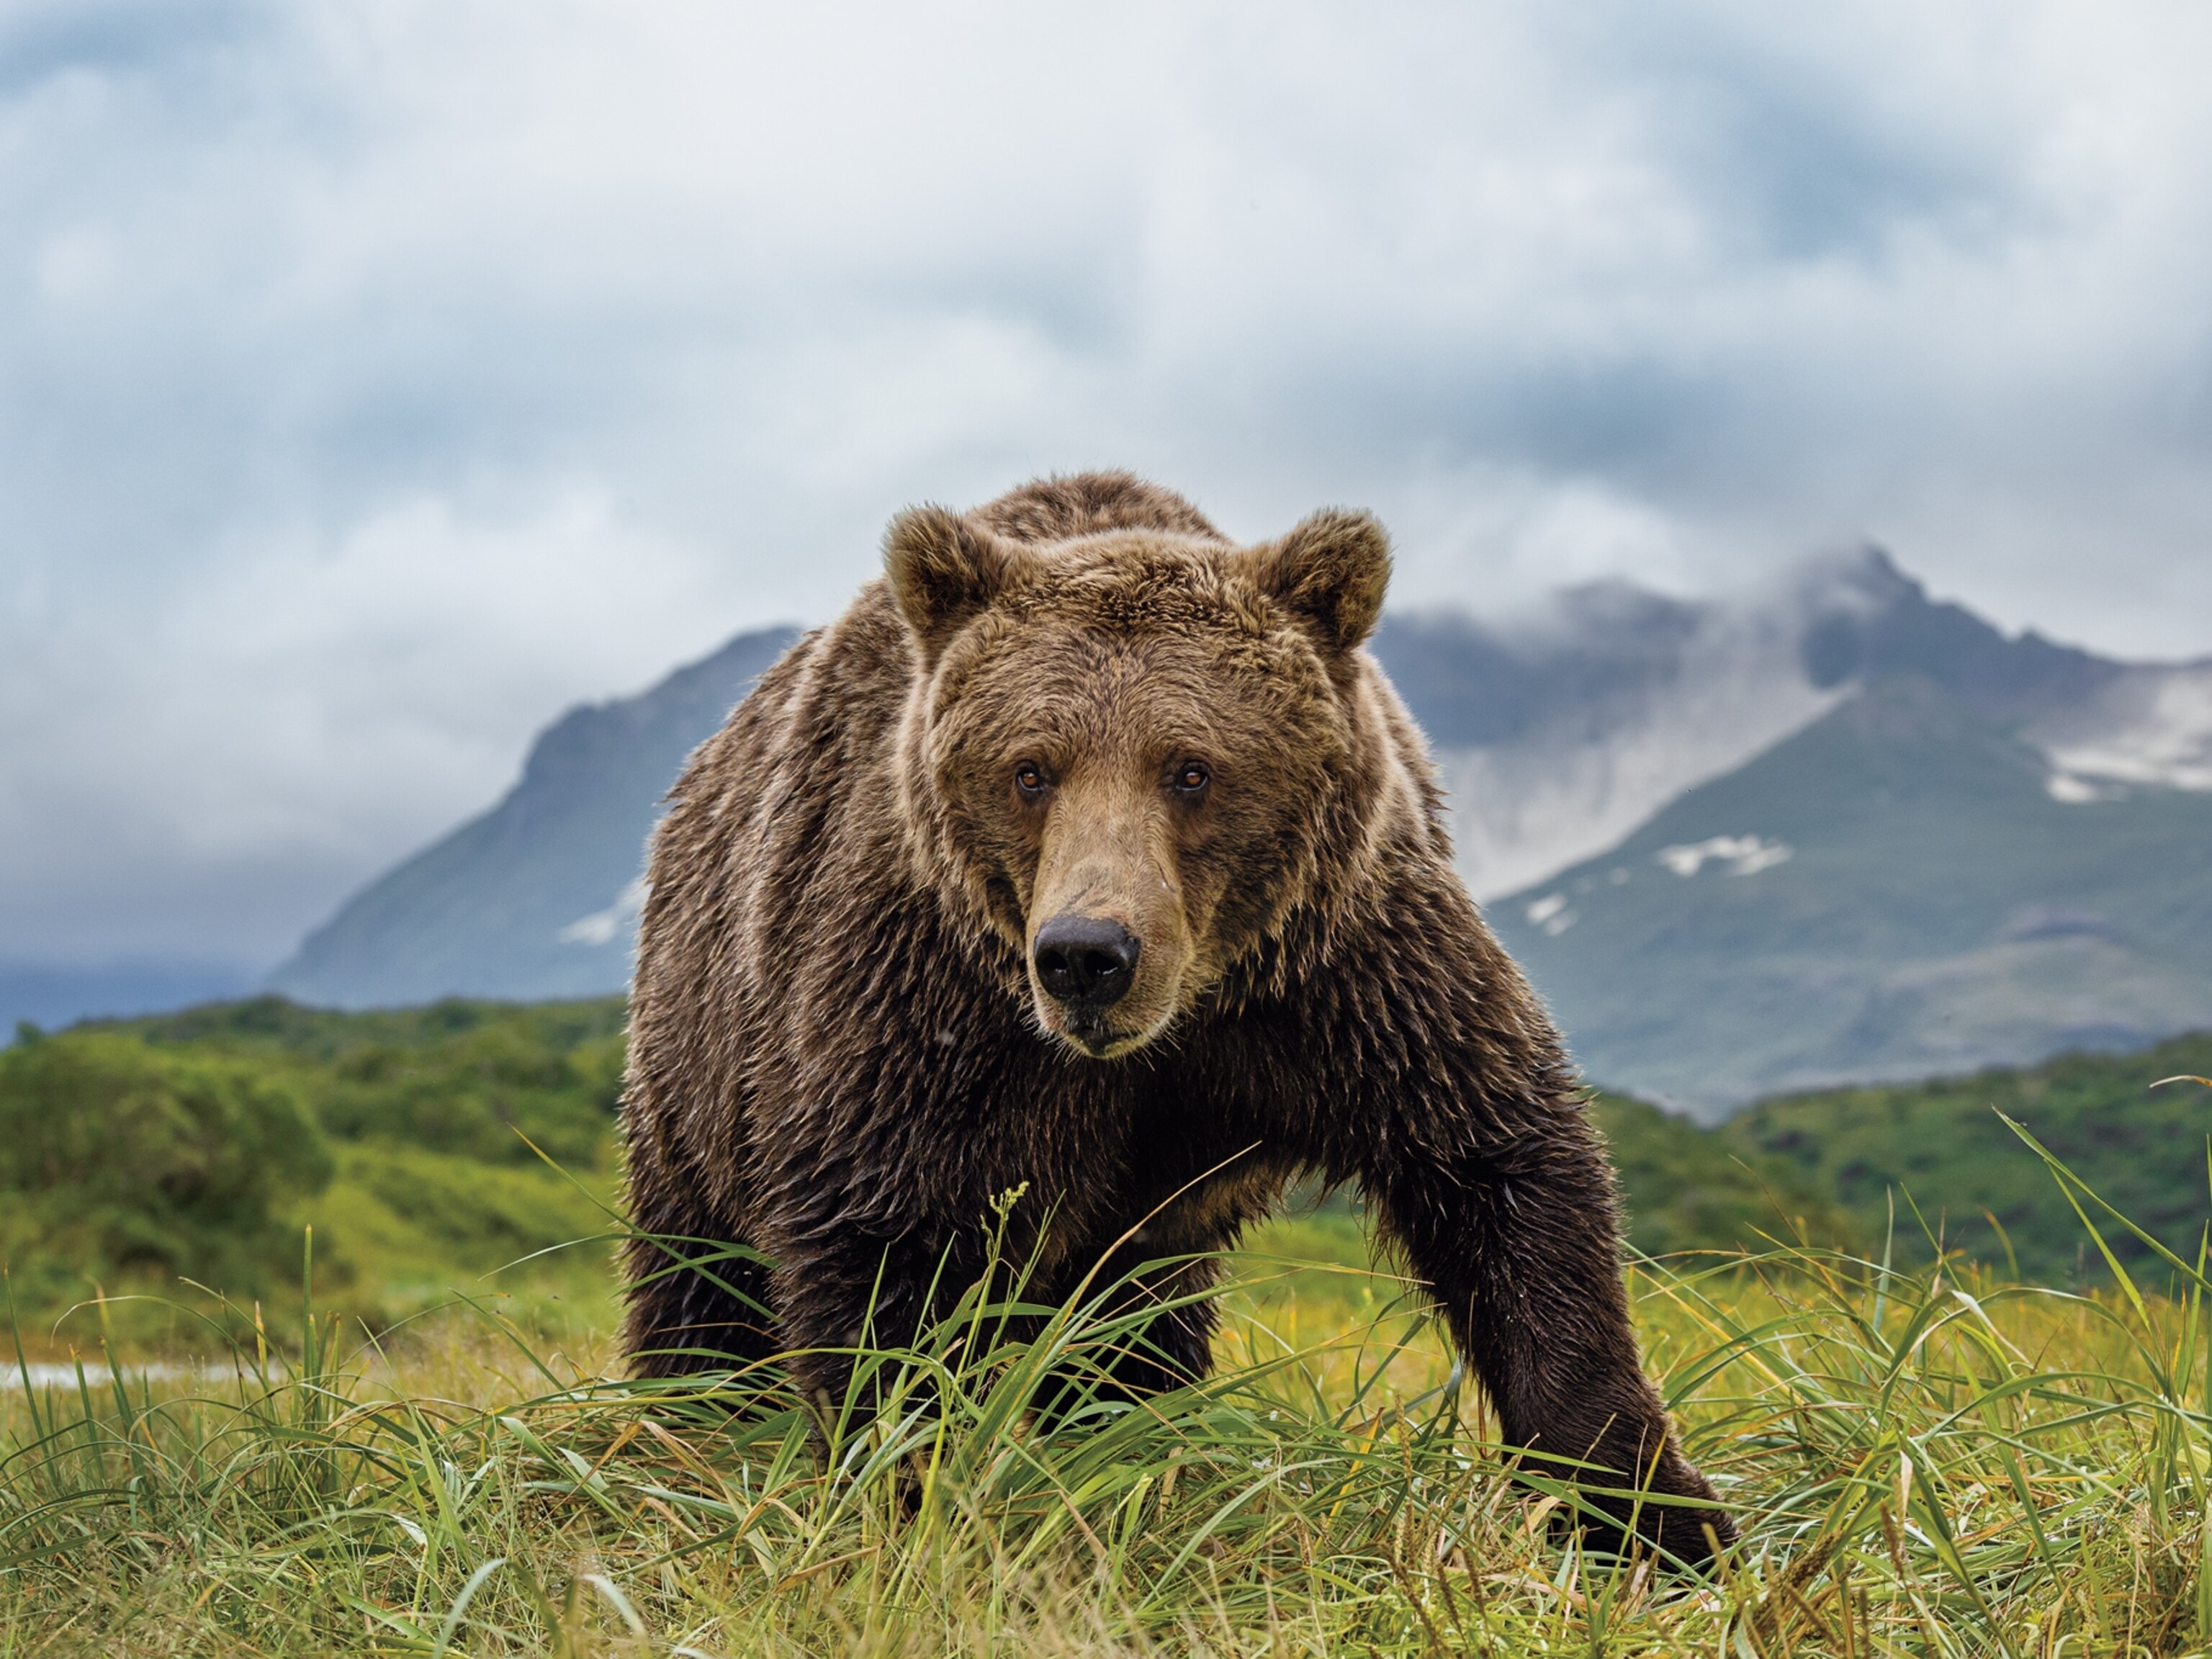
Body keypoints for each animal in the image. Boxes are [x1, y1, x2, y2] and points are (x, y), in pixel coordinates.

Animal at [619, 471, 1733, 1560]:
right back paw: (684, 1437)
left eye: (1191, 768)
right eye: (1030, 769)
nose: (1086, 956)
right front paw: (911, 1498)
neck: (1175, 1024)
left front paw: (1659, 1520)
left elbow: (1502, 1173)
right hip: (696, 1065)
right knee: (699, 1289)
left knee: (1131, 1334)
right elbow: (892, 1258)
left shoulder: (1345, 974)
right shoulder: (929, 1004)